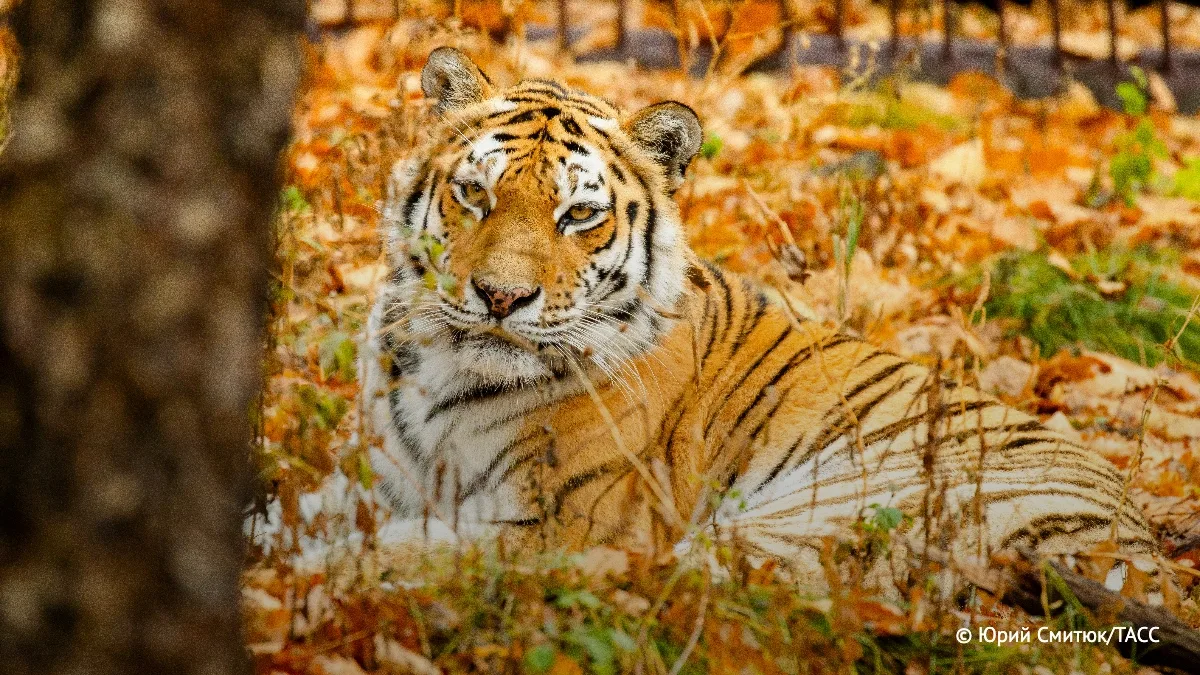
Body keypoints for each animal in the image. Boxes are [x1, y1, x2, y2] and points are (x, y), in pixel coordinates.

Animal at [362, 46, 1161, 596]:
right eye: (474, 193)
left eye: (580, 215)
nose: (501, 297)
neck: (446, 376)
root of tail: (1145, 561)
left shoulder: (563, 524)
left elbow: (413, 548)